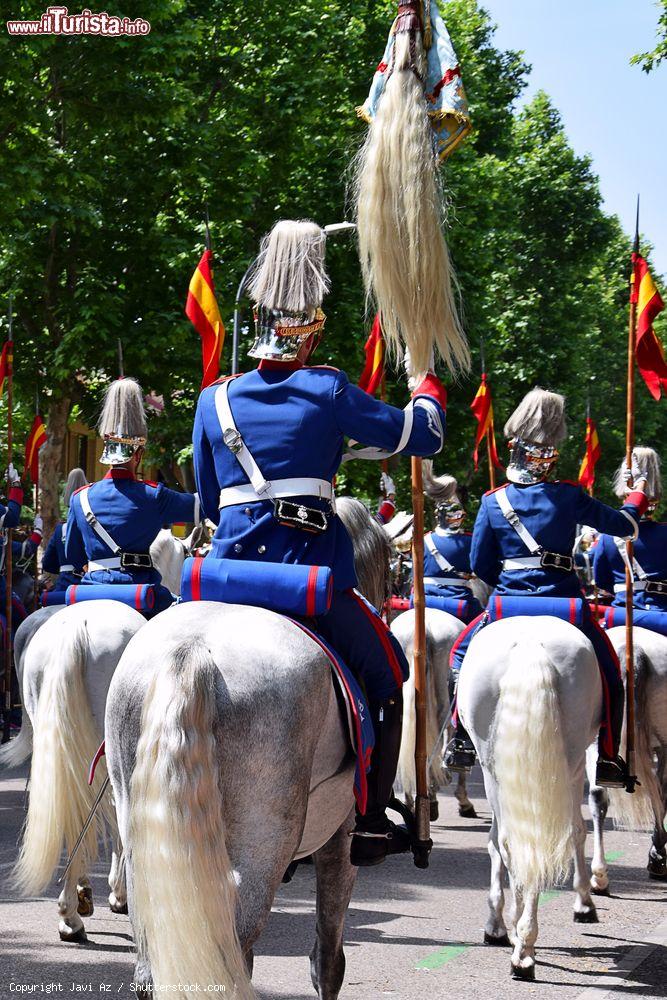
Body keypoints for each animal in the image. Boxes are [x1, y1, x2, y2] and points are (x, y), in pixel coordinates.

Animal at [460, 612, 604, 980]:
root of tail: (530, 642)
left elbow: (496, 843)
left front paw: (498, 924)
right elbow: (575, 832)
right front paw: (583, 901)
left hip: (494, 766)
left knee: (512, 843)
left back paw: (521, 942)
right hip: (569, 759)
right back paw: (524, 944)